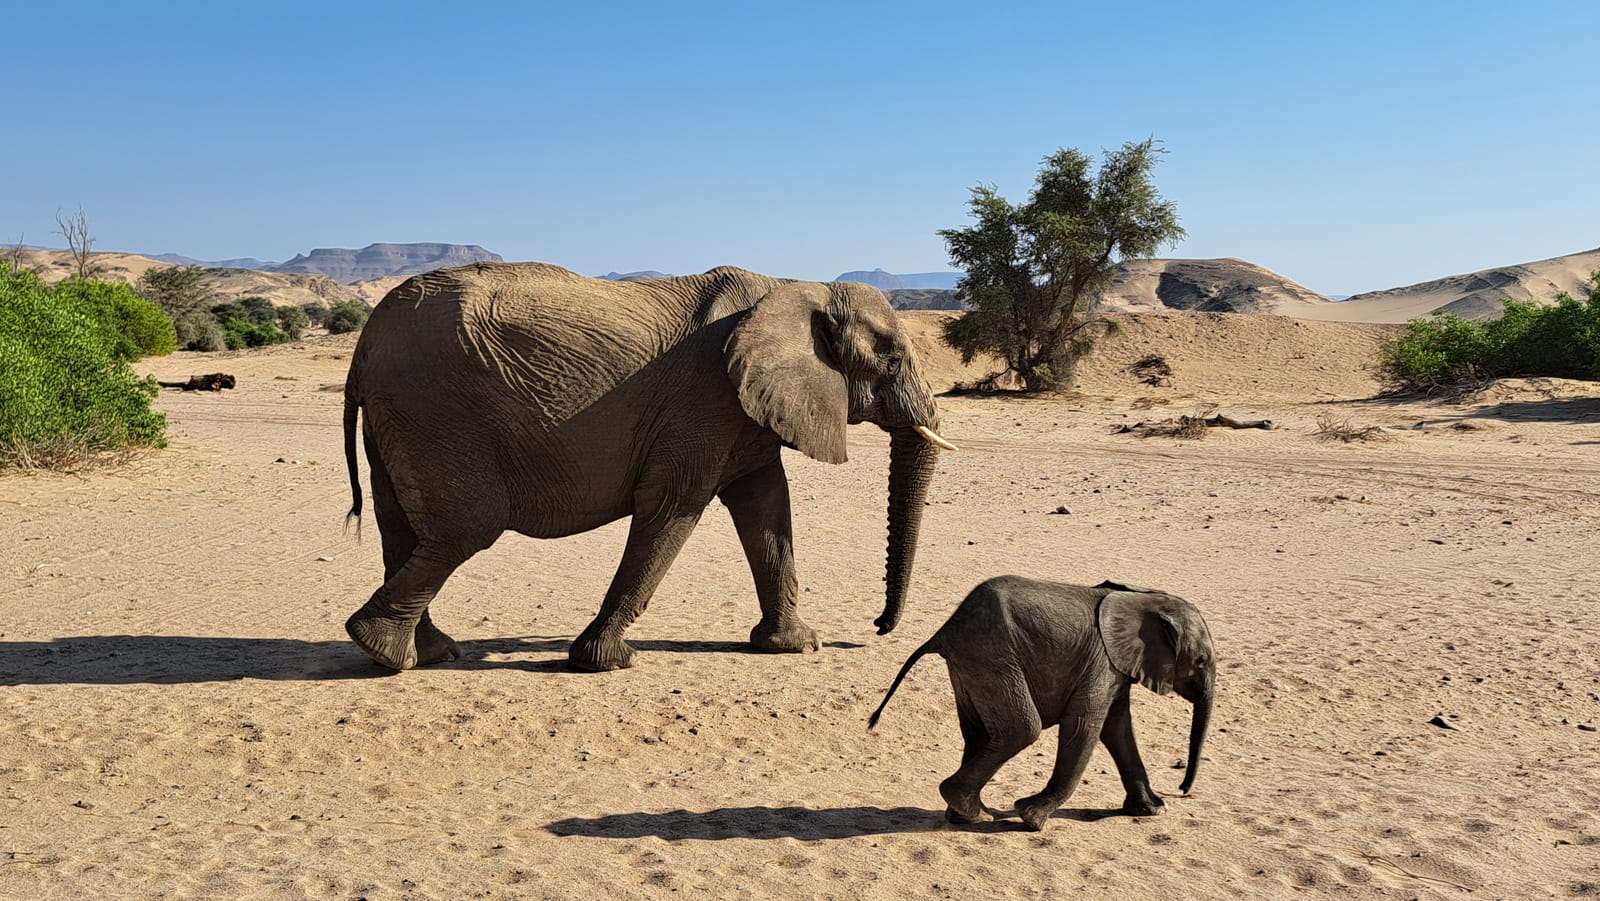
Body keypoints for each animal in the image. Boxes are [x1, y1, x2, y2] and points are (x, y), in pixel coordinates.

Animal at [339, 261, 956, 673]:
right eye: (891, 360)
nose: (877, 628)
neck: (797, 286)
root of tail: (364, 345)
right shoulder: (704, 402)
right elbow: (671, 508)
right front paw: (606, 661)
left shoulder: (743, 413)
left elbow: (765, 509)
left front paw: (794, 646)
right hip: (435, 410)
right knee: (467, 527)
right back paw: (384, 649)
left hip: (399, 417)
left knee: (405, 528)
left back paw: (422, 652)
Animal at [869, 576, 1215, 831]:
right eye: (1201, 660)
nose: (1182, 790)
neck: (1142, 598)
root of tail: (944, 631)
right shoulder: (1100, 662)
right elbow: (1084, 724)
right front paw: (1031, 819)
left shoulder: (1116, 669)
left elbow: (1117, 728)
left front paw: (1152, 810)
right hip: (993, 657)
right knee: (1022, 730)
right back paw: (977, 814)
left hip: (972, 666)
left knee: (980, 733)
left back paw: (966, 816)